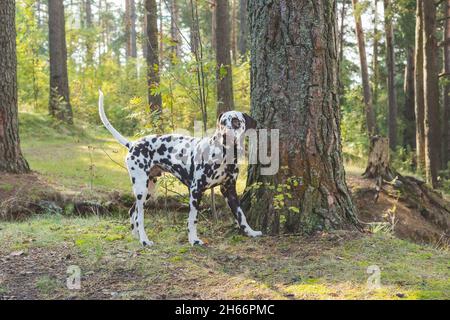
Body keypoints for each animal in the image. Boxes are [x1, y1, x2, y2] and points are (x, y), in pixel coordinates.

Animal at [98, 91, 260, 246]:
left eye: (236, 121)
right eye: (222, 123)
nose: (224, 135)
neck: (224, 155)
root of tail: (133, 144)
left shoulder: (229, 190)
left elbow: (241, 215)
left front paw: (250, 232)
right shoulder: (195, 190)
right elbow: (193, 219)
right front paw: (194, 240)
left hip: (148, 188)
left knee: (132, 212)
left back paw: (136, 237)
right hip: (141, 189)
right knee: (139, 217)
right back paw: (144, 240)